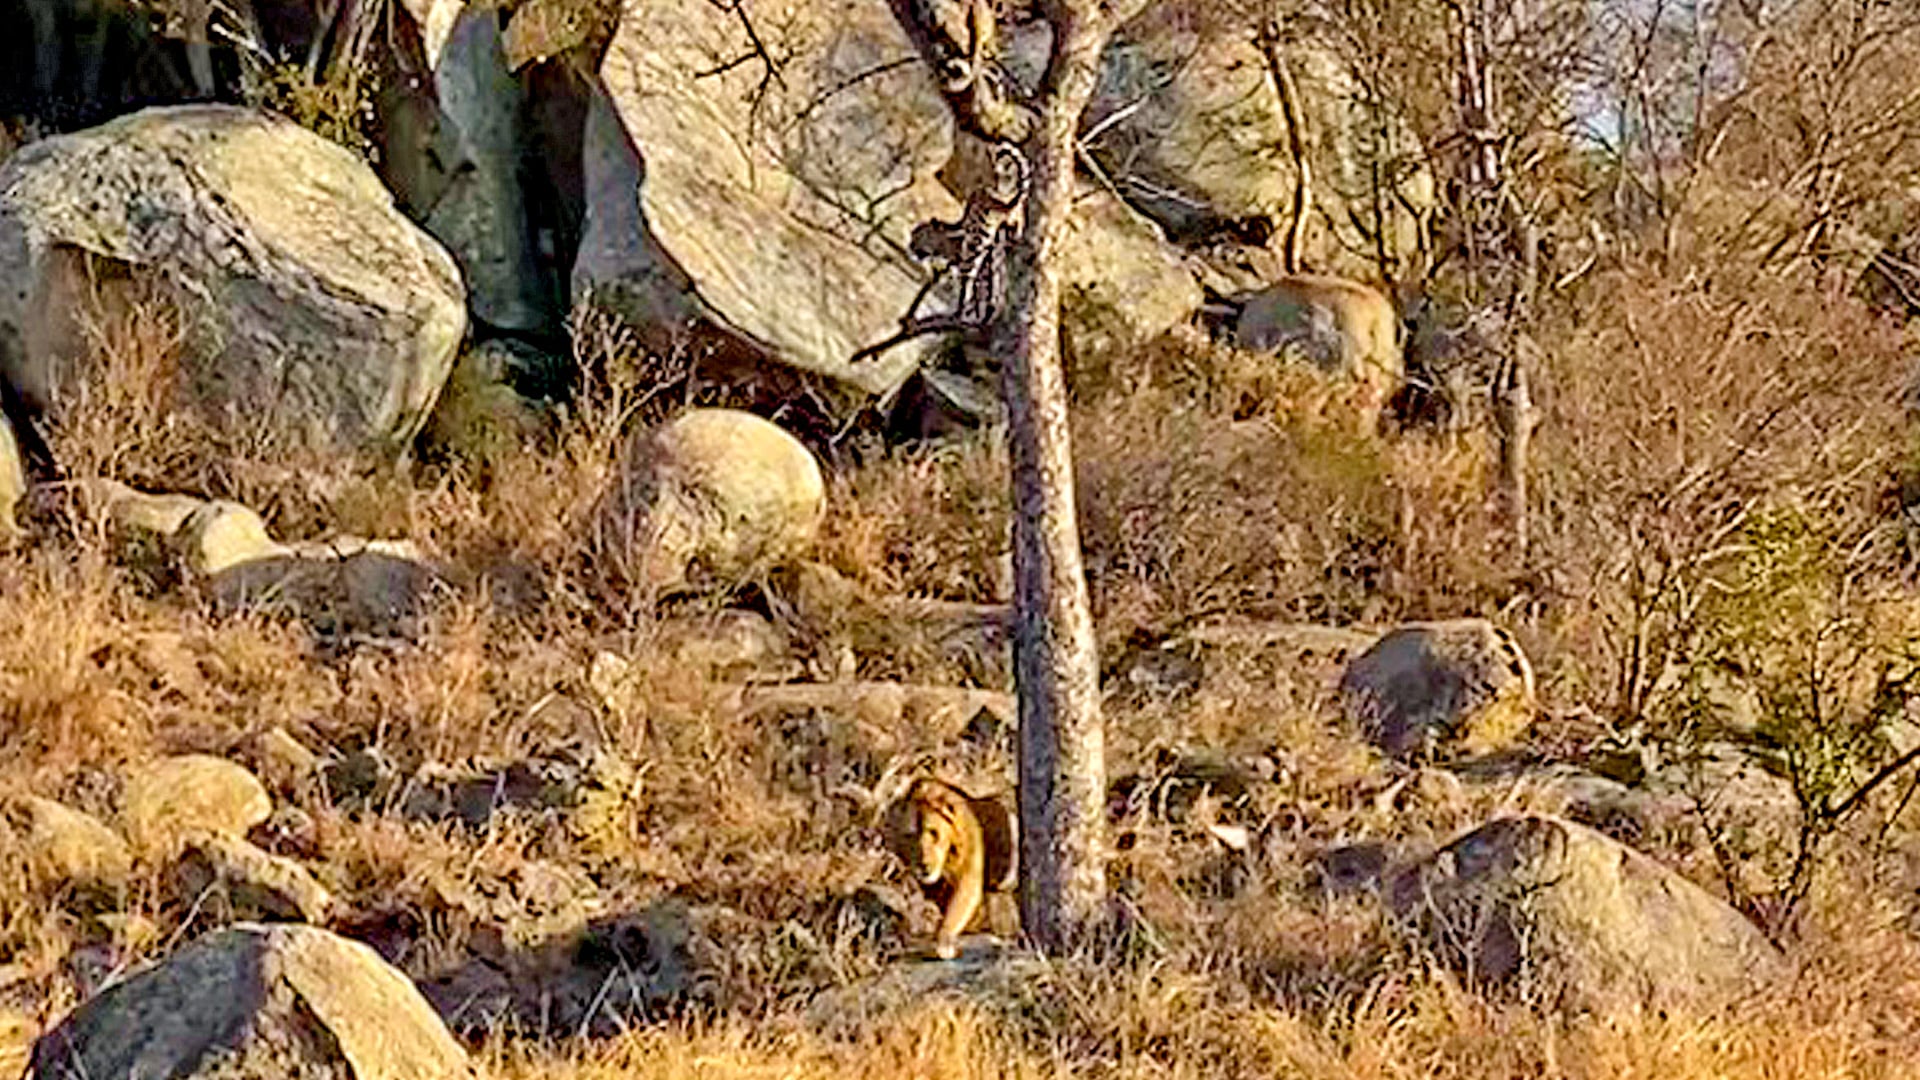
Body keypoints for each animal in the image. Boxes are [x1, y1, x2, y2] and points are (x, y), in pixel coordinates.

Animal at [885, 776, 1017, 960]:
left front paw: (943, 941)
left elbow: (958, 908)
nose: (923, 866)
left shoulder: (969, 875)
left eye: (934, 833)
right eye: (909, 836)